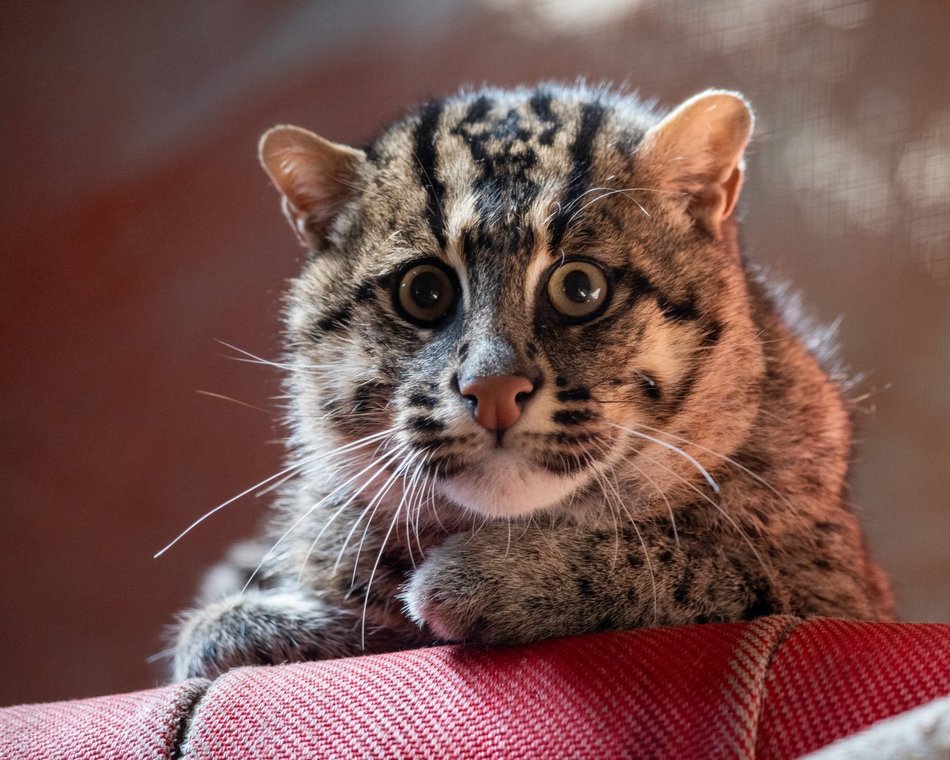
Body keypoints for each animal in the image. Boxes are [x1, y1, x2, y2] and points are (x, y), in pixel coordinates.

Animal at [173, 84, 900, 684]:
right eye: (423, 292)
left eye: (580, 287)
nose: (493, 389)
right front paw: (276, 623)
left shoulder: (834, 584)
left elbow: (697, 562)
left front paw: (481, 580)